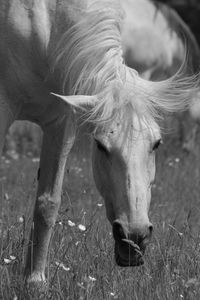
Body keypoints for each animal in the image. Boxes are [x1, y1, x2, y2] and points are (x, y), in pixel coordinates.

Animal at [0, 0, 198, 284]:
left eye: (156, 144)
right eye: (101, 146)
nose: (134, 236)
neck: (43, 24)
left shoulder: (61, 122)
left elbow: (48, 204)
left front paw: (35, 281)